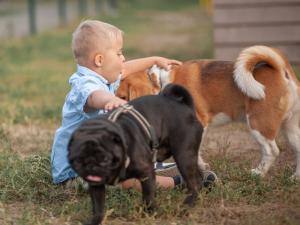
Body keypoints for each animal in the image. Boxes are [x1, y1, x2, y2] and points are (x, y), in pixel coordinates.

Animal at [116, 45, 300, 179]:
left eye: (122, 96)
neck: (162, 82)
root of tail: (280, 69)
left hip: (258, 124)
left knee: (271, 150)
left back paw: (258, 173)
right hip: (290, 127)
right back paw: (295, 178)